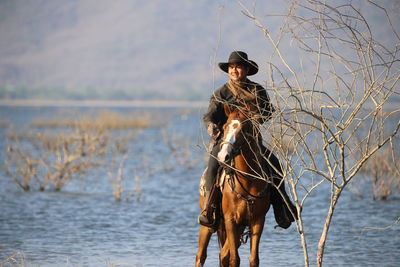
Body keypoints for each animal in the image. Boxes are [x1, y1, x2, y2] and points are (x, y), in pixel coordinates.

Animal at [197, 104, 272, 267]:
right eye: (225, 126)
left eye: (244, 129)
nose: (223, 156)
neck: (247, 181)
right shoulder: (230, 220)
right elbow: (234, 259)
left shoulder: (257, 221)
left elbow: (253, 259)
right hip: (208, 224)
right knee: (201, 256)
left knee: (223, 255)